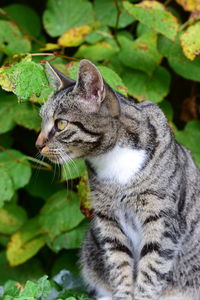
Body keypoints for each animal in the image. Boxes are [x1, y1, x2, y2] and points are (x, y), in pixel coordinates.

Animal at [36, 59, 200, 300]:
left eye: (61, 124)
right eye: (42, 120)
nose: (37, 145)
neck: (114, 159)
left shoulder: (161, 220)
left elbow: (150, 271)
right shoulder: (108, 221)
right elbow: (120, 266)